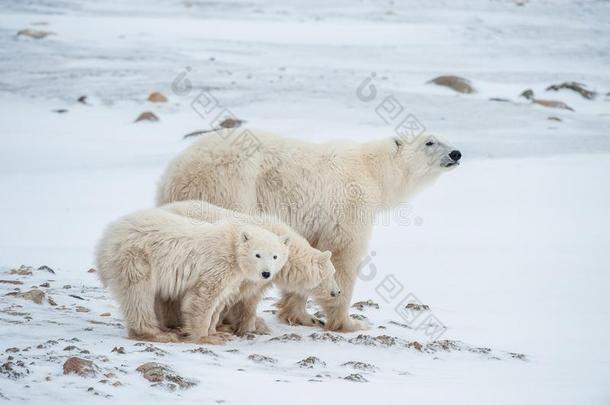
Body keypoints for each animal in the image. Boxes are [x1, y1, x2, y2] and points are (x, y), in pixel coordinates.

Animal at [97, 207, 290, 342]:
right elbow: (203, 297)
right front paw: (206, 337)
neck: (232, 245)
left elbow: (219, 301)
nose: (266, 273)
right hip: (137, 257)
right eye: (257, 254)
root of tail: (107, 236)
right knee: (139, 295)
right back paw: (157, 334)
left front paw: (217, 333)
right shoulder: (217, 264)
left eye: (275, 256)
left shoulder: (233, 277)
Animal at [157, 129, 460, 332]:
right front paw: (349, 322)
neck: (373, 171)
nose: (456, 153)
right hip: (232, 186)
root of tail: (177, 172)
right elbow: (344, 254)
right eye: (429, 142)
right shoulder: (350, 205)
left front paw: (302, 315)